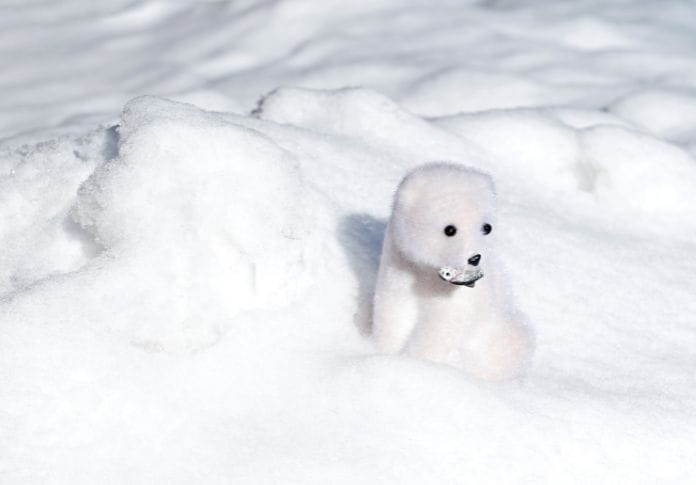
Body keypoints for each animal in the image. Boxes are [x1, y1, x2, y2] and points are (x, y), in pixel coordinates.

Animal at [373, 162, 533, 380]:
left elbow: (438, 331)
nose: (474, 258)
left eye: (487, 227)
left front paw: (416, 363)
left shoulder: (457, 301)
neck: (427, 276)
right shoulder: (398, 270)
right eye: (449, 229)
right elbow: (393, 315)